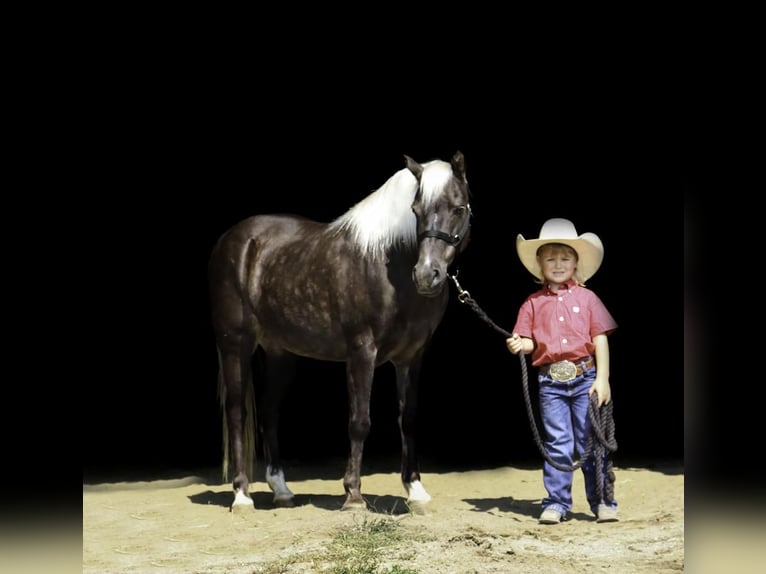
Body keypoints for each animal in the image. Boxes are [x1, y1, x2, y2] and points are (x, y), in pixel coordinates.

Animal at [210, 152, 474, 512]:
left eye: (458, 208)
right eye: (416, 210)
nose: (426, 275)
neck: (388, 264)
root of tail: (235, 239)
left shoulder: (412, 357)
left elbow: (408, 418)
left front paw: (415, 490)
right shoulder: (362, 351)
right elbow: (360, 422)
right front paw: (353, 495)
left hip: (280, 353)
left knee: (268, 411)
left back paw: (282, 491)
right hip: (235, 345)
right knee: (237, 412)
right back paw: (241, 495)